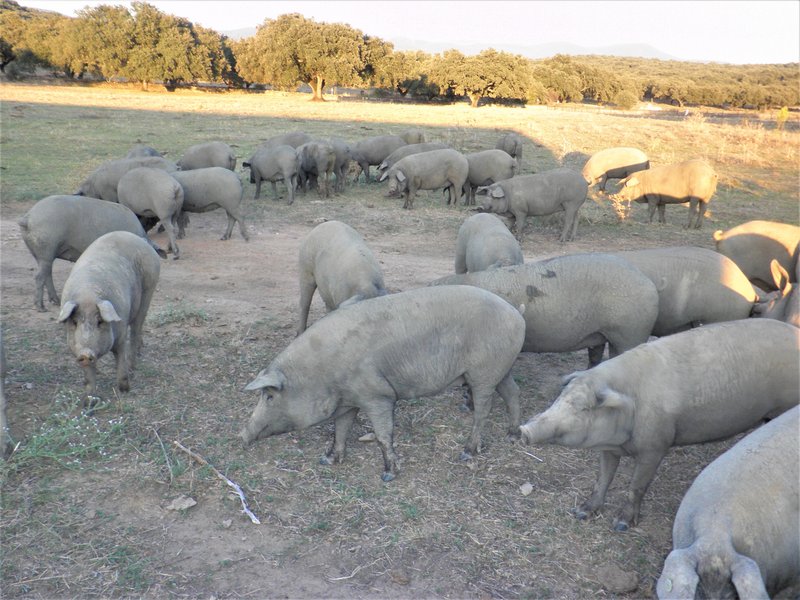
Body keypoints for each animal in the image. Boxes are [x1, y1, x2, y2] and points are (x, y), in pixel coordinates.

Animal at [18, 196, 166, 312]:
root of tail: (28, 217)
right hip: (46, 249)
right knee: (39, 277)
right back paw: (41, 307)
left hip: (41, 254)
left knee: (47, 274)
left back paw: (56, 301)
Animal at [56, 232, 161, 406]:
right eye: (75, 322)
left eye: (100, 322)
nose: (86, 353)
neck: (88, 295)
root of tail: (140, 239)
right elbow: (89, 376)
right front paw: (89, 401)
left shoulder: (121, 331)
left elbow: (121, 357)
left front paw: (124, 389)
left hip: (149, 288)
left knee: (136, 328)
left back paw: (133, 366)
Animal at [241, 286, 528, 482]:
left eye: (269, 396)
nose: (241, 434)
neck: (321, 372)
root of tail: (517, 314)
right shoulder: (348, 401)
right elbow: (340, 429)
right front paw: (327, 460)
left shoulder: (377, 395)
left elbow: (382, 435)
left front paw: (388, 475)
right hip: (501, 369)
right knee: (513, 393)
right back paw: (513, 436)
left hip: (483, 373)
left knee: (484, 409)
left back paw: (466, 452)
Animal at [520, 318, 800, 528]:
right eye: (560, 398)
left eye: (583, 407)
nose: (524, 430)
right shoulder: (609, 447)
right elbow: (603, 477)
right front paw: (582, 512)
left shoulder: (656, 445)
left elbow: (637, 486)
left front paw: (621, 525)